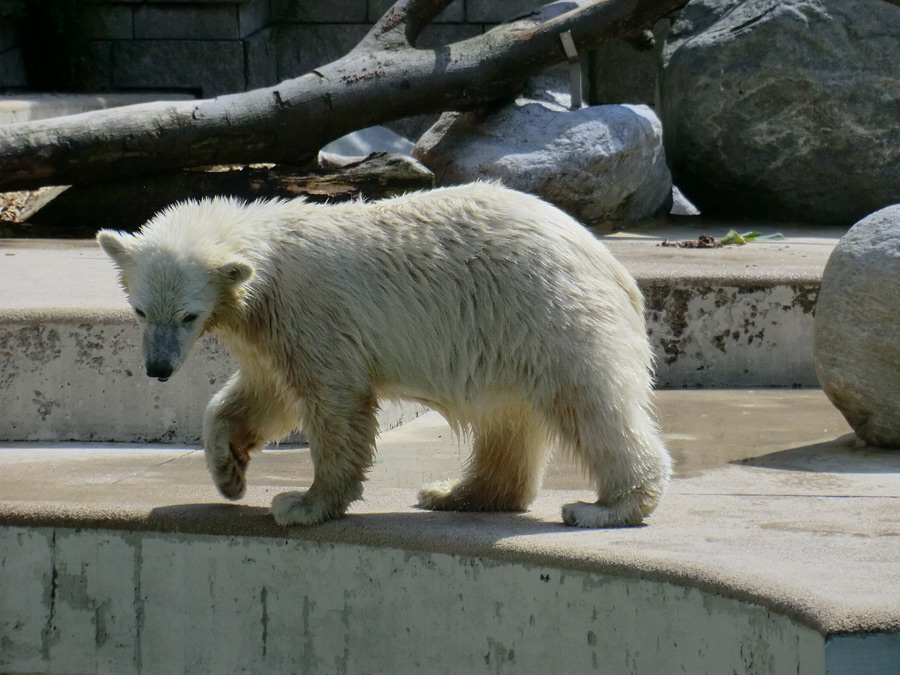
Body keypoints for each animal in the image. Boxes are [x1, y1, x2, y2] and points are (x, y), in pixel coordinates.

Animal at [100, 184, 676, 528]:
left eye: (188, 315)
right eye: (139, 310)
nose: (158, 369)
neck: (269, 263)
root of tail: (608, 261)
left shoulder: (312, 310)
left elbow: (333, 401)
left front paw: (302, 503)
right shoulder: (269, 331)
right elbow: (263, 395)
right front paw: (229, 470)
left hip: (546, 312)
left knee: (590, 403)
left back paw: (605, 506)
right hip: (507, 335)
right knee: (507, 419)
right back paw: (455, 493)